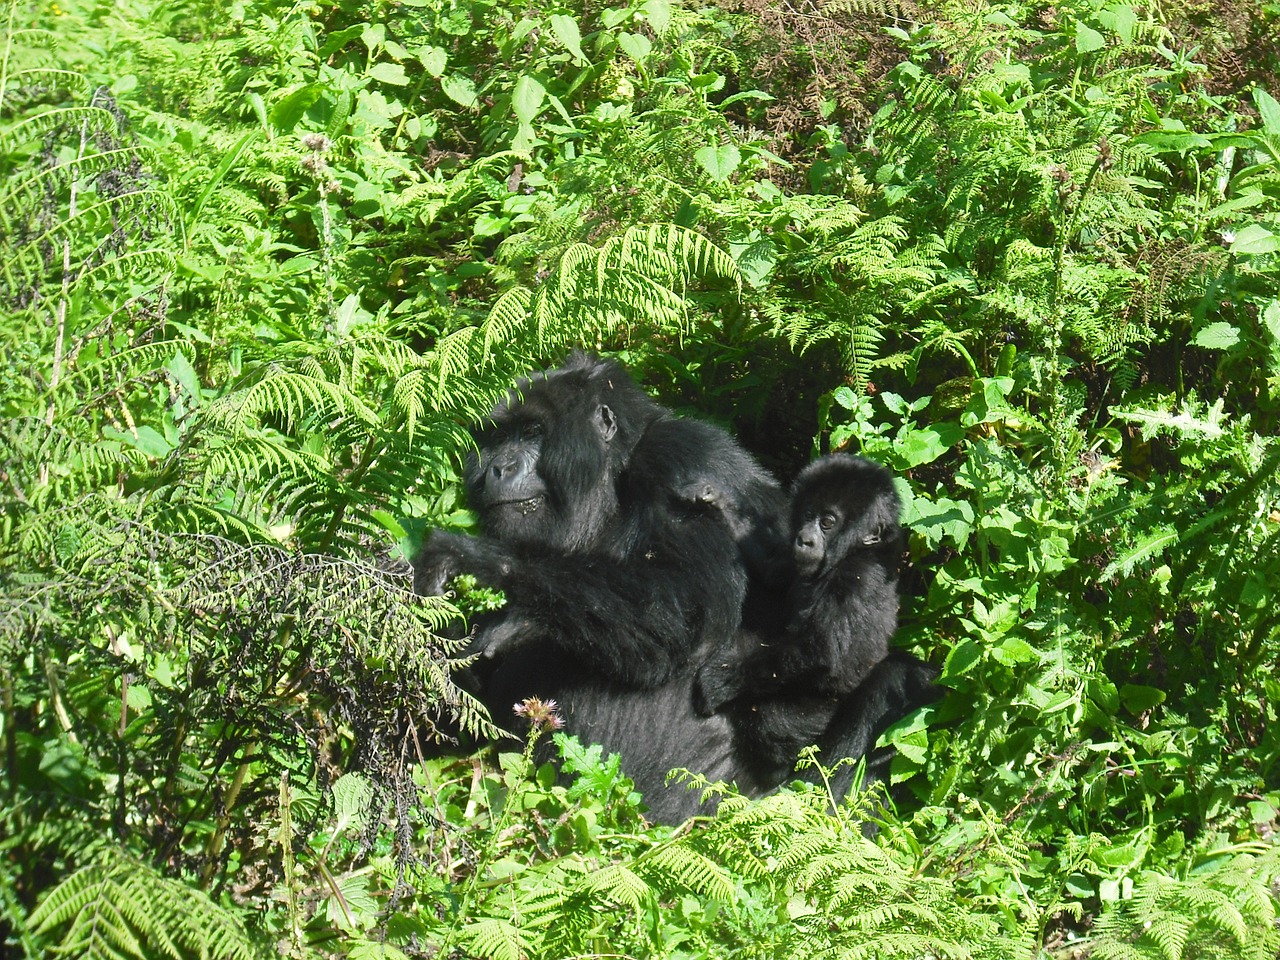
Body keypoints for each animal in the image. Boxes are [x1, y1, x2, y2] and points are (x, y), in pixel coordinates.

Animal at [414, 353, 783, 819]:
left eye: (532, 433)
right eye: (497, 439)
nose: (499, 468)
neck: (609, 484)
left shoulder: (685, 460)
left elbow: (679, 608)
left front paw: (482, 562)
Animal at [696, 455, 906, 783]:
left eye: (827, 522)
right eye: (807, 514)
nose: (804, 540)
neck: (857, 550)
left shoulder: (856, 579)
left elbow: (820, 653)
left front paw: (719, 680)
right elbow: (777, 571)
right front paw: (720, 507)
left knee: (771, 720)